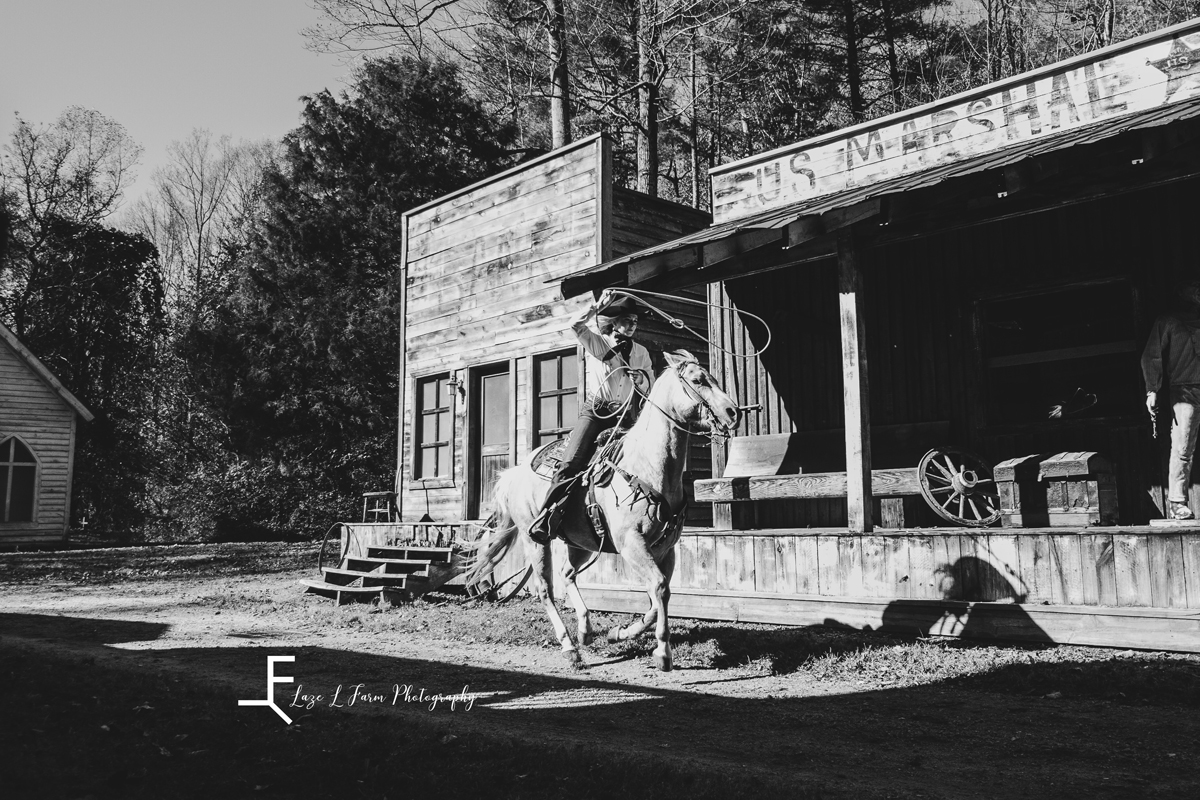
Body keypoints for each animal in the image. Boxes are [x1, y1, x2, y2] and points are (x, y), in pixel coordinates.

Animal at [465, 350, 739, 671]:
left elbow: (656, 596)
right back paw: (570, 648)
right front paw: (663, 652)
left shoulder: (665, 549)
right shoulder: (630, 543)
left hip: (579, 541)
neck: (645, 465)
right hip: (535, 539)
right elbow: (659, 588)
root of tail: (516, 472)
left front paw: (619, 633)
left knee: (568, 573)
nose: (733, 412)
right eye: (698, 380)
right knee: (545, 589)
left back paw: (585, 630)